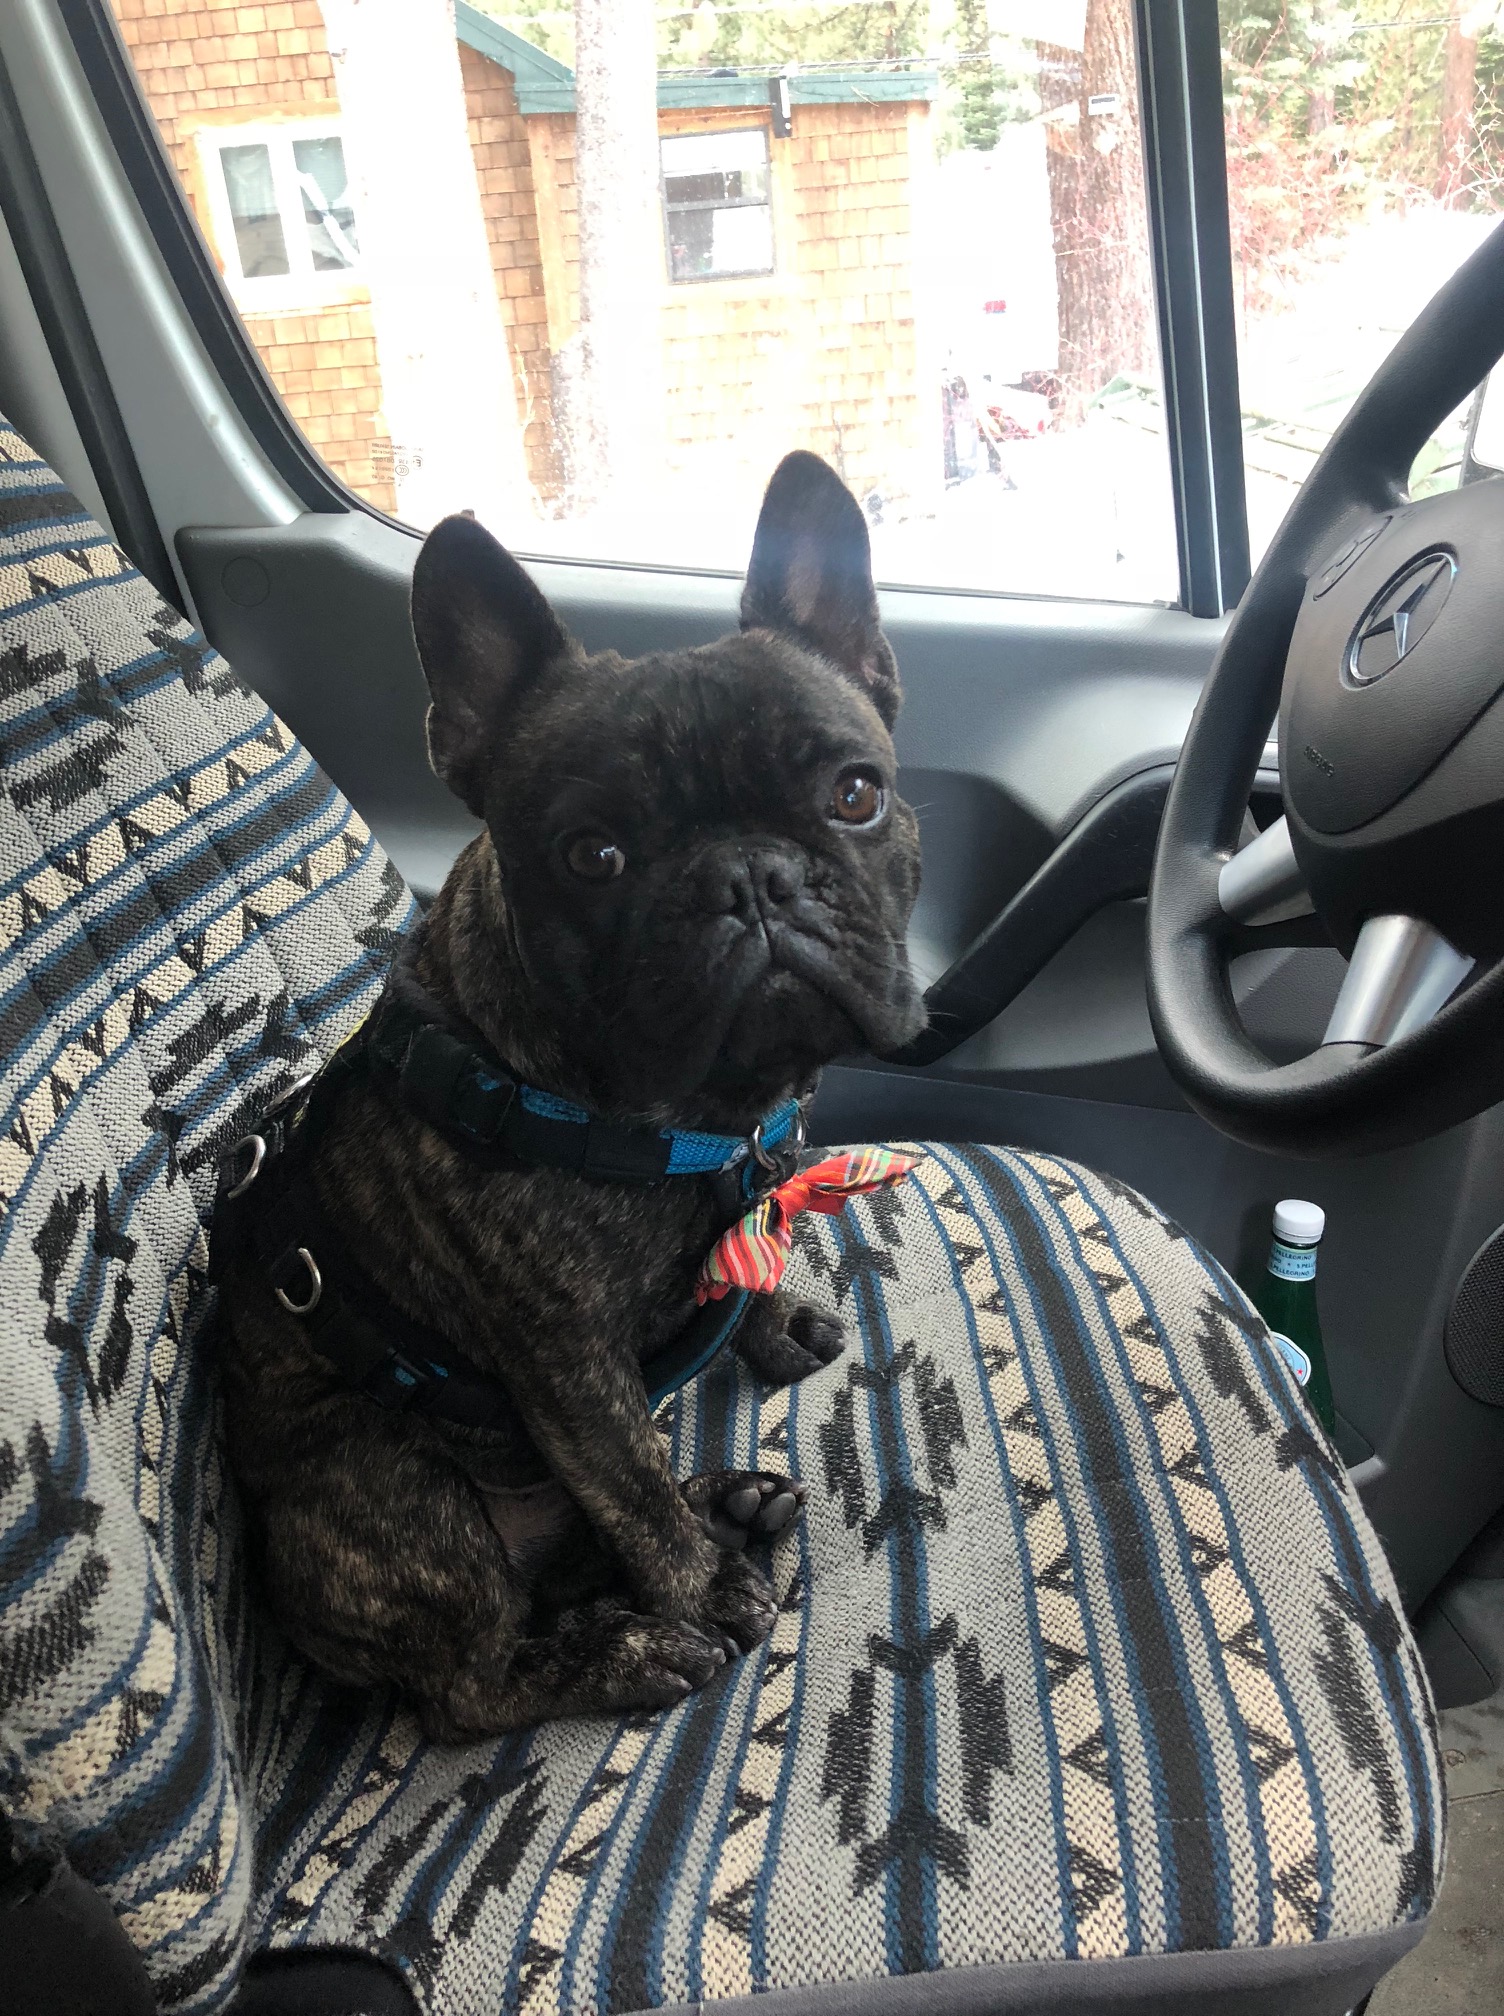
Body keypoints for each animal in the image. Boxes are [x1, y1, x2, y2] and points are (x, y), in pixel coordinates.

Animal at [215, 451, 925, 1738]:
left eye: (856, 794)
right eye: (592, 855)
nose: (751, 877)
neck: (692, 1118)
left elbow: (730, 1294)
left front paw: (771, 1320)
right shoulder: (565, 1359)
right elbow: (628, 1482)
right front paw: (700, 1587)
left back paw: (729, 1500)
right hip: (393, 1483)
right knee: (475, 1676)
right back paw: (639, 1640)